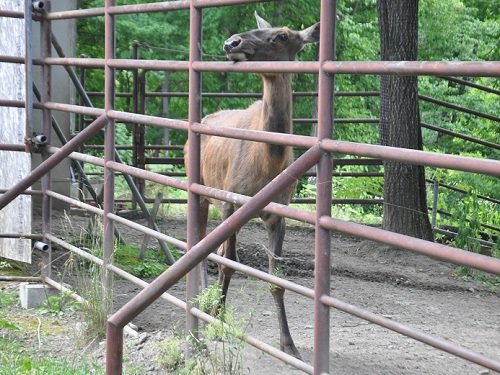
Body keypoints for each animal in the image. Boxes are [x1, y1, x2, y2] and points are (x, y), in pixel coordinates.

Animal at [185, 11, 320, 358]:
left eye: (283, 36)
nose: (232, 42)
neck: (269, 159)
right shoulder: (231, 201)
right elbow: (228, 264)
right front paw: (217, 319)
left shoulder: (278, 213)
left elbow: (276, 278)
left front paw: (288, 343)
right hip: (201, 194)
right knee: (201, 248)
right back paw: (202, 303)